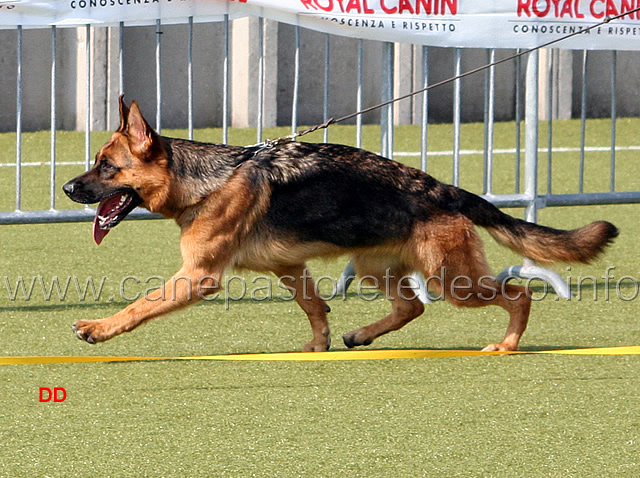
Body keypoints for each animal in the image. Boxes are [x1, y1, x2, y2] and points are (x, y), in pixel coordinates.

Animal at [62, 96, 616, 352]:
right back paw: (361, 337)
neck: (204, 180)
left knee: (516, 296)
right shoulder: (289, 268)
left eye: (105, 167)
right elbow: (314, 307)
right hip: (376, 267)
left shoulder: (196, 277)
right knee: (411, 306)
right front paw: (320, 347)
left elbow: (140, 305)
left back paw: (507, 344)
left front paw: (99, 328)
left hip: (453, 281)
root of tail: (442, 189)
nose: (67, 189)